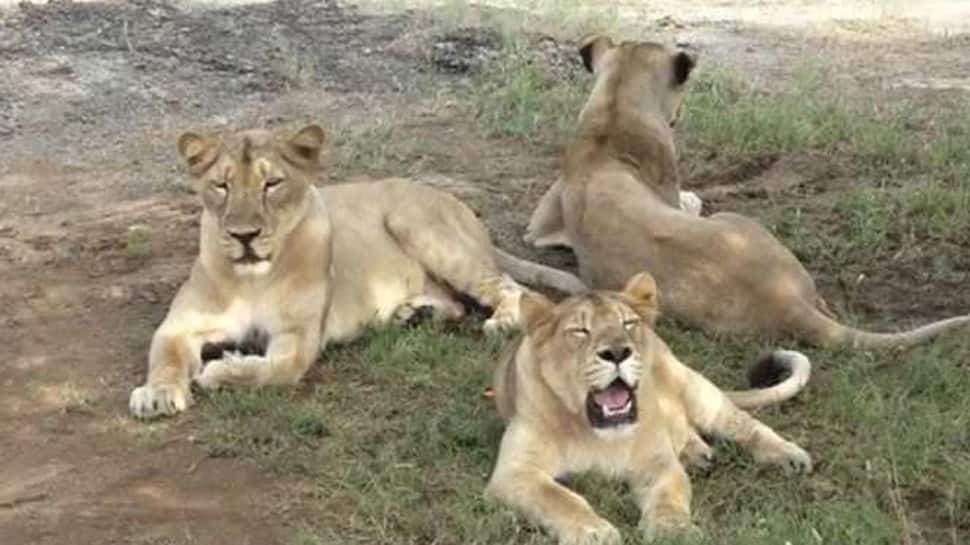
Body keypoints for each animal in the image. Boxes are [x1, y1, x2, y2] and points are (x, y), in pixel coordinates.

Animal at [127, 125, 584, 418]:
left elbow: (271, 371)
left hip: (419, 226)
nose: (244, 235)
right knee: (456, 302)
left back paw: (501, 320)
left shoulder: (298, 339)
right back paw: (414, 314)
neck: (252, 278)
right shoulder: (180, 326)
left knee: (509, 287)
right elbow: (164, 358)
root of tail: (461, 206)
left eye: (272, 184)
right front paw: (157, 395)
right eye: (221, 186)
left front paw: (220, 370)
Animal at [484, 272, 808, 544]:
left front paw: (672, 530)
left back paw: (789, 456)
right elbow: (559, 498)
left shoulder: (657, 463)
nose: (618, 352)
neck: (595, 431)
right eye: (580, 330)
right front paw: (593, 532)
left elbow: (669, 496)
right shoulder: (516, 472)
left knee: (743, 424)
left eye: (628, 324)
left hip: (693, 387)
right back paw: (696, 455)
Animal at [520, 35, 968, 348]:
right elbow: (690, 199)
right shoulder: (671, 189)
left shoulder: (539, 226)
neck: (614, 109)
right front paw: (694, 198)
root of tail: (785, 302)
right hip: (740, 221)